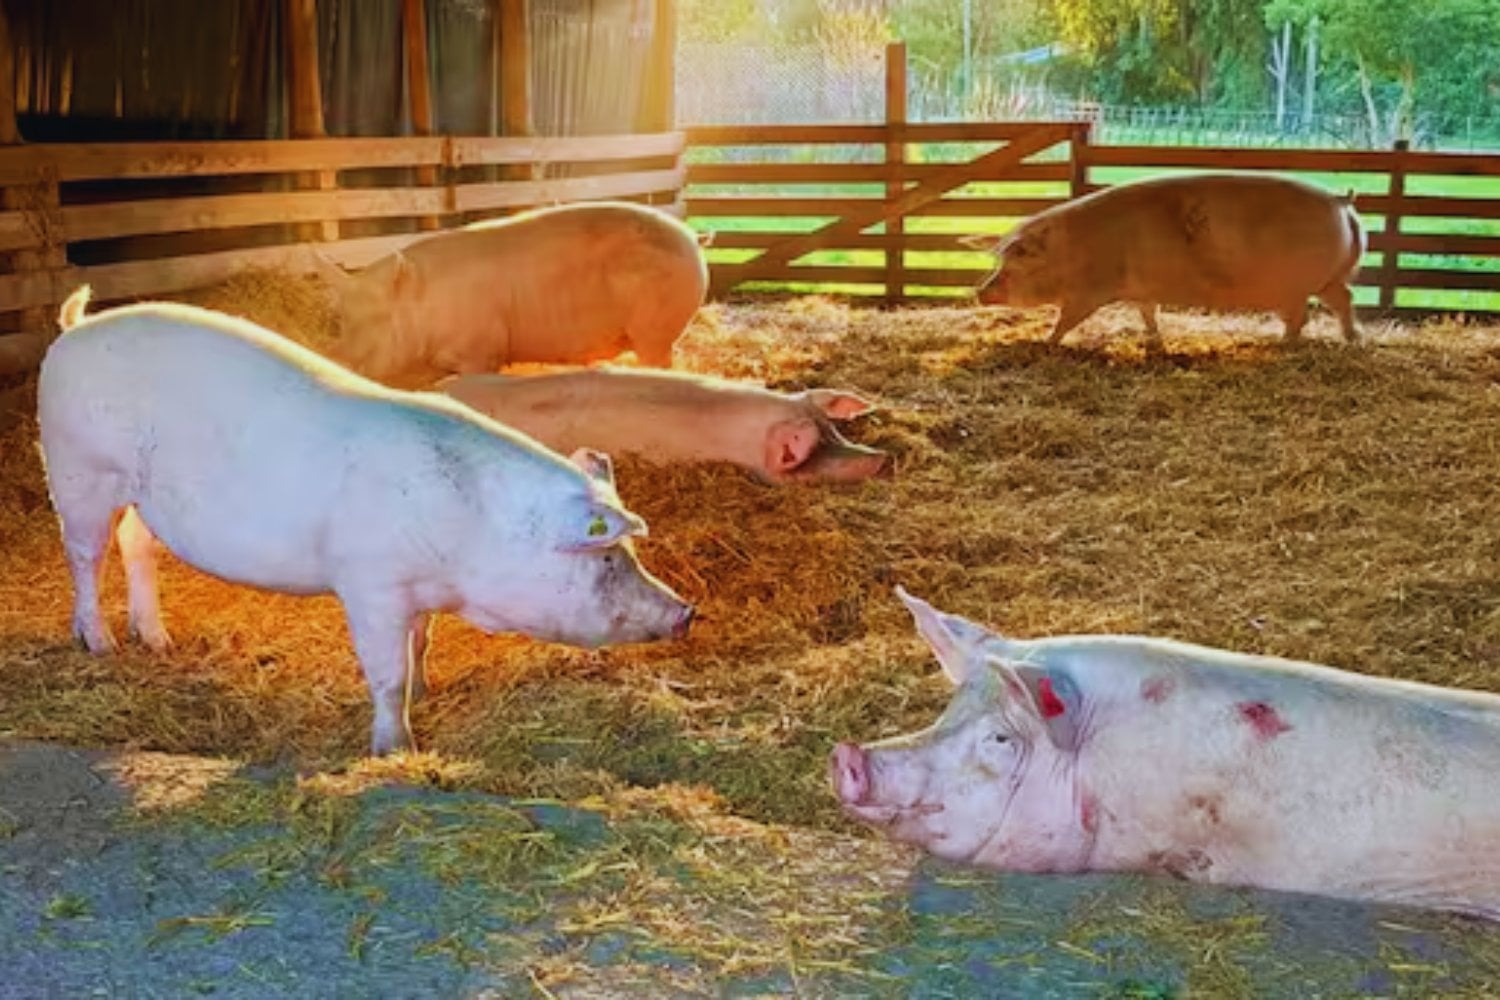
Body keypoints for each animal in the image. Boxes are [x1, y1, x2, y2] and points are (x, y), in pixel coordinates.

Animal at [38, 285, 694, 756]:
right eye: (605, 556)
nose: (686, 611)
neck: (473, 532)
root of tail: (74, 328)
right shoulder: (371, 584)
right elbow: (386, 673)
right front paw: (395, 750)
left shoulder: (419, 591)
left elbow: (420, 641)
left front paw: (428, 689)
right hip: (78, 471)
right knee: (84, 554)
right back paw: (99, 644)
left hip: (142, 496)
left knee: (135, 545)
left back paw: (157, 640)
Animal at [310, 201, 709, 388]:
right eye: (341, 319)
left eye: (376, 316)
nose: (333, 357)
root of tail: (692, 238)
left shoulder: (481, 352)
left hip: (656, 330)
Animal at [969, 173, 1367, 349]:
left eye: (1016, 261)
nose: (979, 291)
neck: (1070, 253)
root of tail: (1340, 202)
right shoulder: (1142, 289)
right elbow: (1148, 312)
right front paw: (1154, 339)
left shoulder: (1088, 292)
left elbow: (1067, 318)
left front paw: (1046, 342)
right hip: (1327, 280)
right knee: (1344, 299)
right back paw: (1351, 339)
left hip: (1297, 286)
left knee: (1303, 316)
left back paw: (1282, 344)